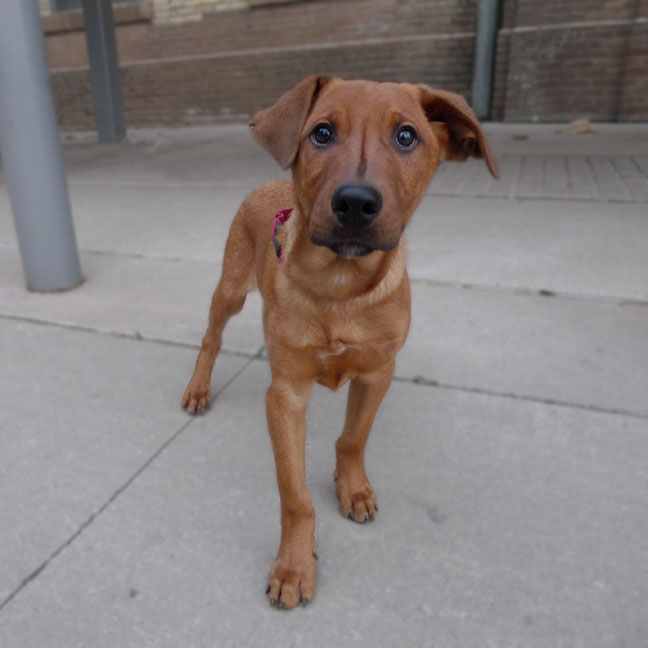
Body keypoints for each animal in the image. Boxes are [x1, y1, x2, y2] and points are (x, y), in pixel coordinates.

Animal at [180, 78, 498, 612]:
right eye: (322, 133)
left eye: (407, 137)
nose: (355, 202)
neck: (338, 289)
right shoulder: (285, 395)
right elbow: (294, 494)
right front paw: (294, 565)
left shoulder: (378, 372)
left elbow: (353, 438)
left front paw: (352, 488)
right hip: (230, 290)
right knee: (211, 337)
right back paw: (198, 388)